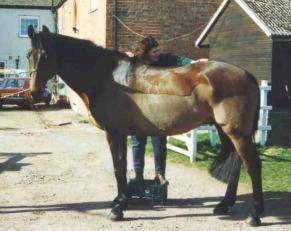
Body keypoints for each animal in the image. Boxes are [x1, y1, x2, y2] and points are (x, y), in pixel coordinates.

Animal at [27, 25, 264, 226]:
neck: (108, 79)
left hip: (237, 133)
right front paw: (119, 201)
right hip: (225, 130)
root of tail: (248, 75)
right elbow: (121, 167)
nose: (35, 93)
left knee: (253, 166)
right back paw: (224, 205)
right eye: (29, 55)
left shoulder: (115, 133)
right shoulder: (120, 134)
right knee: (236, 165)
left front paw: (118, 209)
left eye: (46, 56)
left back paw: (255, 215)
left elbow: (119, 167)